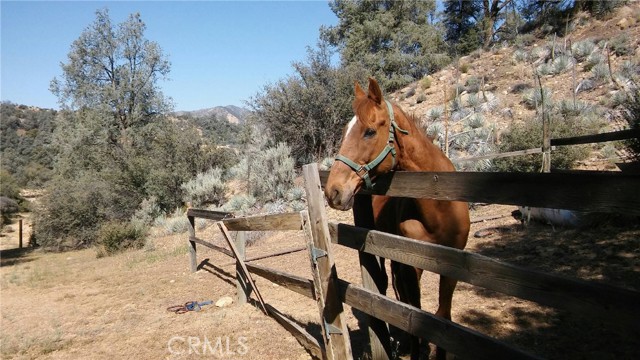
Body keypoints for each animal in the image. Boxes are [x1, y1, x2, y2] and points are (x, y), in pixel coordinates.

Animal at [324, 77, 470, 358]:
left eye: (369, 131)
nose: (332, 191)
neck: (439, 206)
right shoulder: (411, 263)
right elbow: (414, 313)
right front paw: (414, 349)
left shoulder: (451, 267)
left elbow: (443, 315)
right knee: (383, 286)